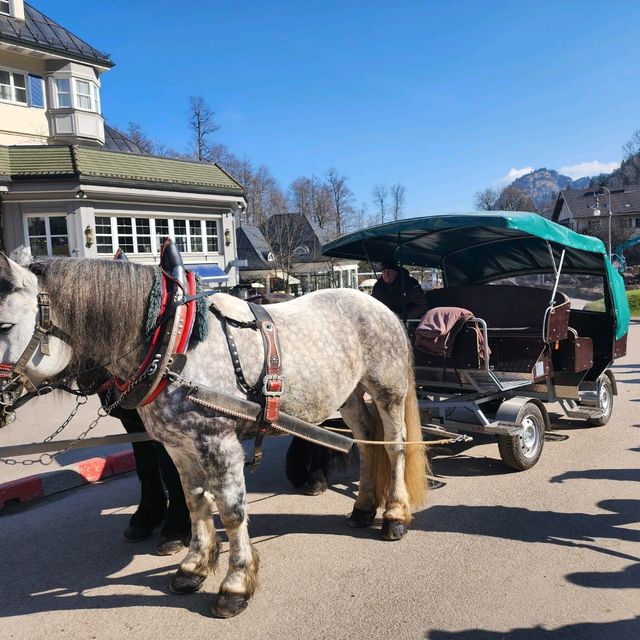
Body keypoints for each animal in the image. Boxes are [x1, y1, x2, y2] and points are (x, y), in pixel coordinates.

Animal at [1, 255, 430, 620]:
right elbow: (195, 503)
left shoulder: (219, 443)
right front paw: (193, 566)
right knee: (366, 441)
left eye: (5, 325)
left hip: (389, 390)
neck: (173, 345)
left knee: (394, 446)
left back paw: (394, 515)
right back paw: (363, 508)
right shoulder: (179, 447)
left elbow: (231, 510)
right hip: (350, 395)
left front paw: (235, 584)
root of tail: (378, 305)